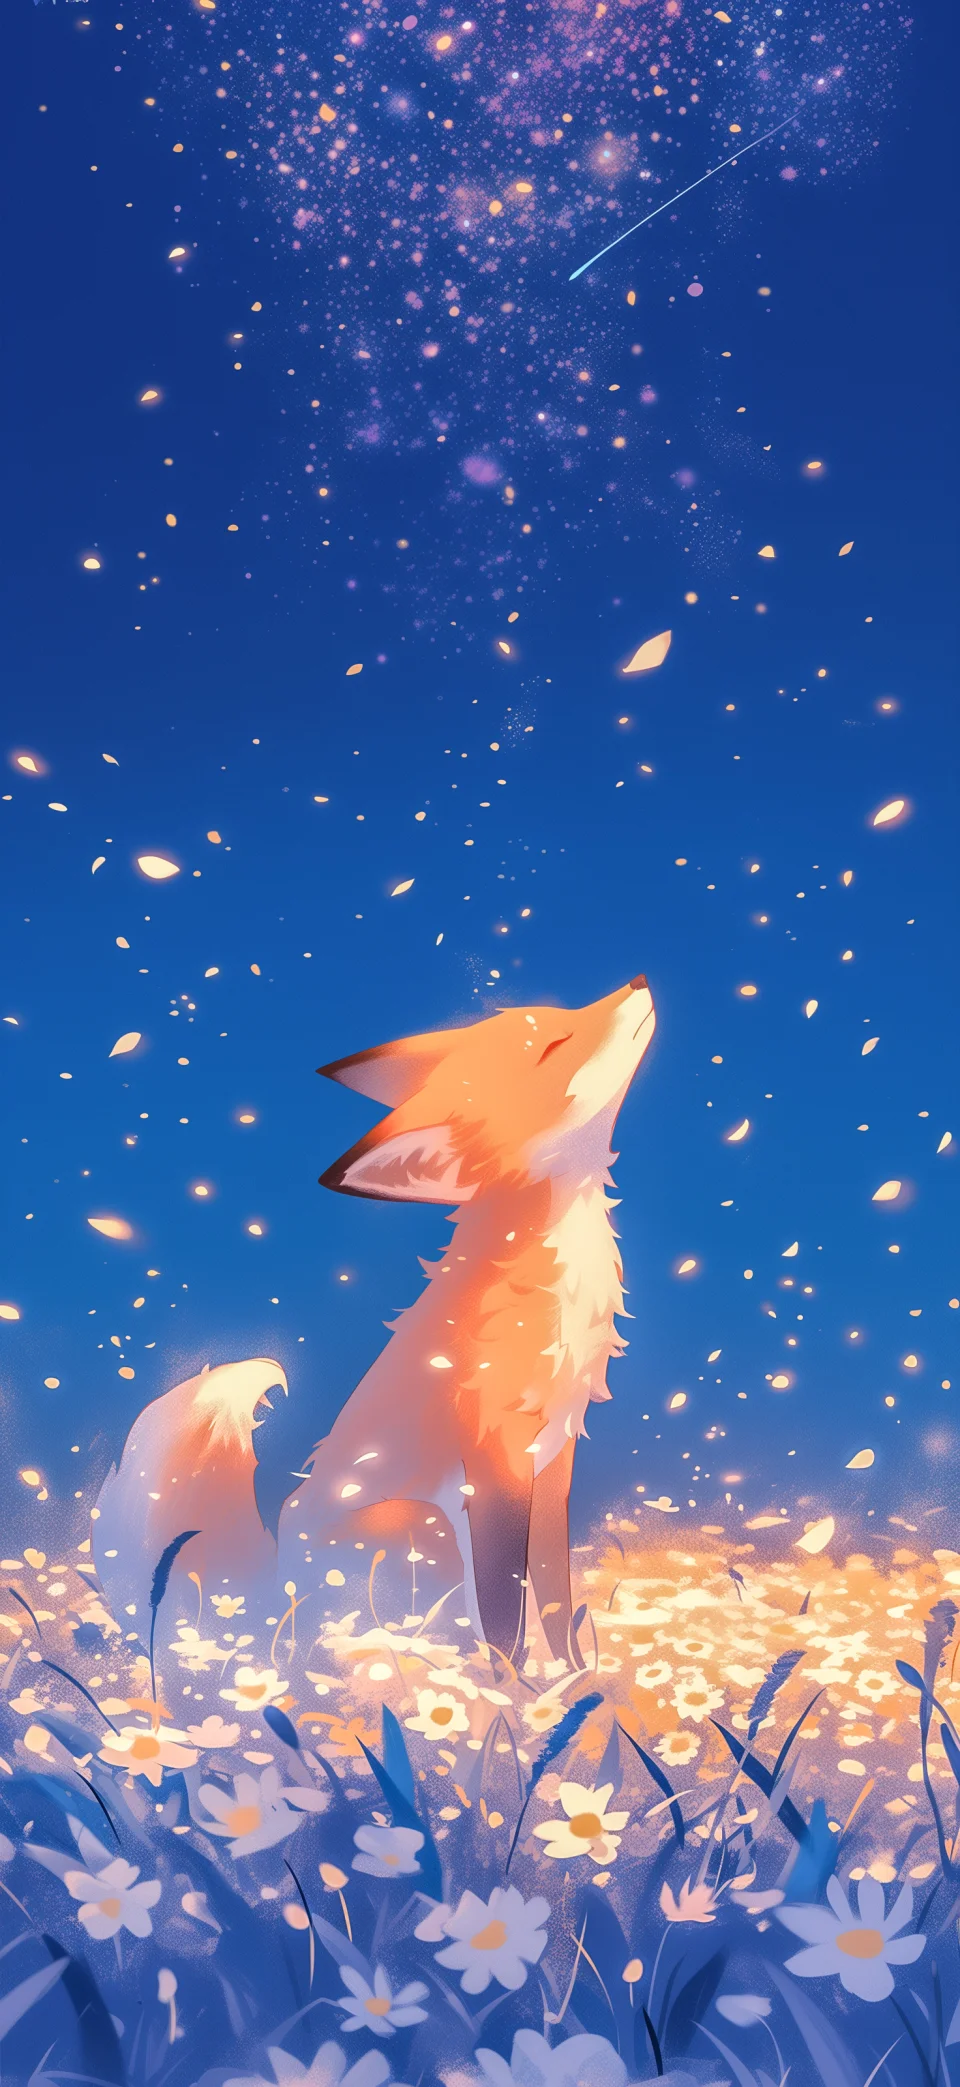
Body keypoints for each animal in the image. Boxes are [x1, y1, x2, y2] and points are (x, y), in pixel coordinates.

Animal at [93, 974, 655, 1670]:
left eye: (560, 1018)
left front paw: (578, 1679)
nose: (638, 982)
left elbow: (553, 1593)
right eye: (554, 1045)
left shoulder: (554, 1460)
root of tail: (277, 1591)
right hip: (423, 1525)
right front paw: (515, 1690)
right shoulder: (495, 1464)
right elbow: (506, 1614)